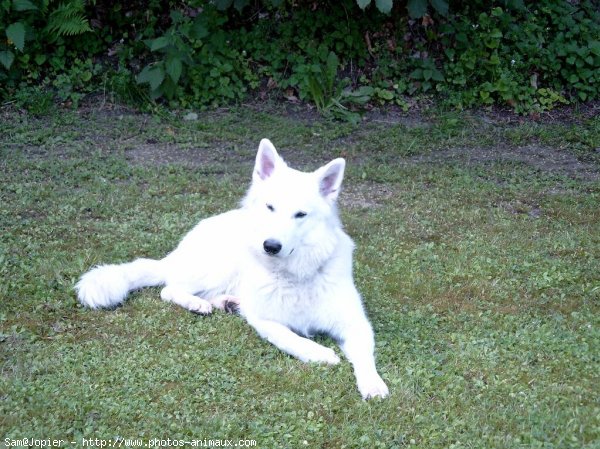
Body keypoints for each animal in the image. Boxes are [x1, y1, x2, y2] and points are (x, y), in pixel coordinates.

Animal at [76, 139, 390, 400]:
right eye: (270, 207)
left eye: (300, 215)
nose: (270, 246)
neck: (295, 276)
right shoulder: (265, 320)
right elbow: (290, 338)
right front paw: (319, 353)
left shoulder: (355, 323)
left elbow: (365, 357)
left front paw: (373, 384)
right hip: (217, 267)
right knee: (169, 289)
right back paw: (197, 303)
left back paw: (226, 302)